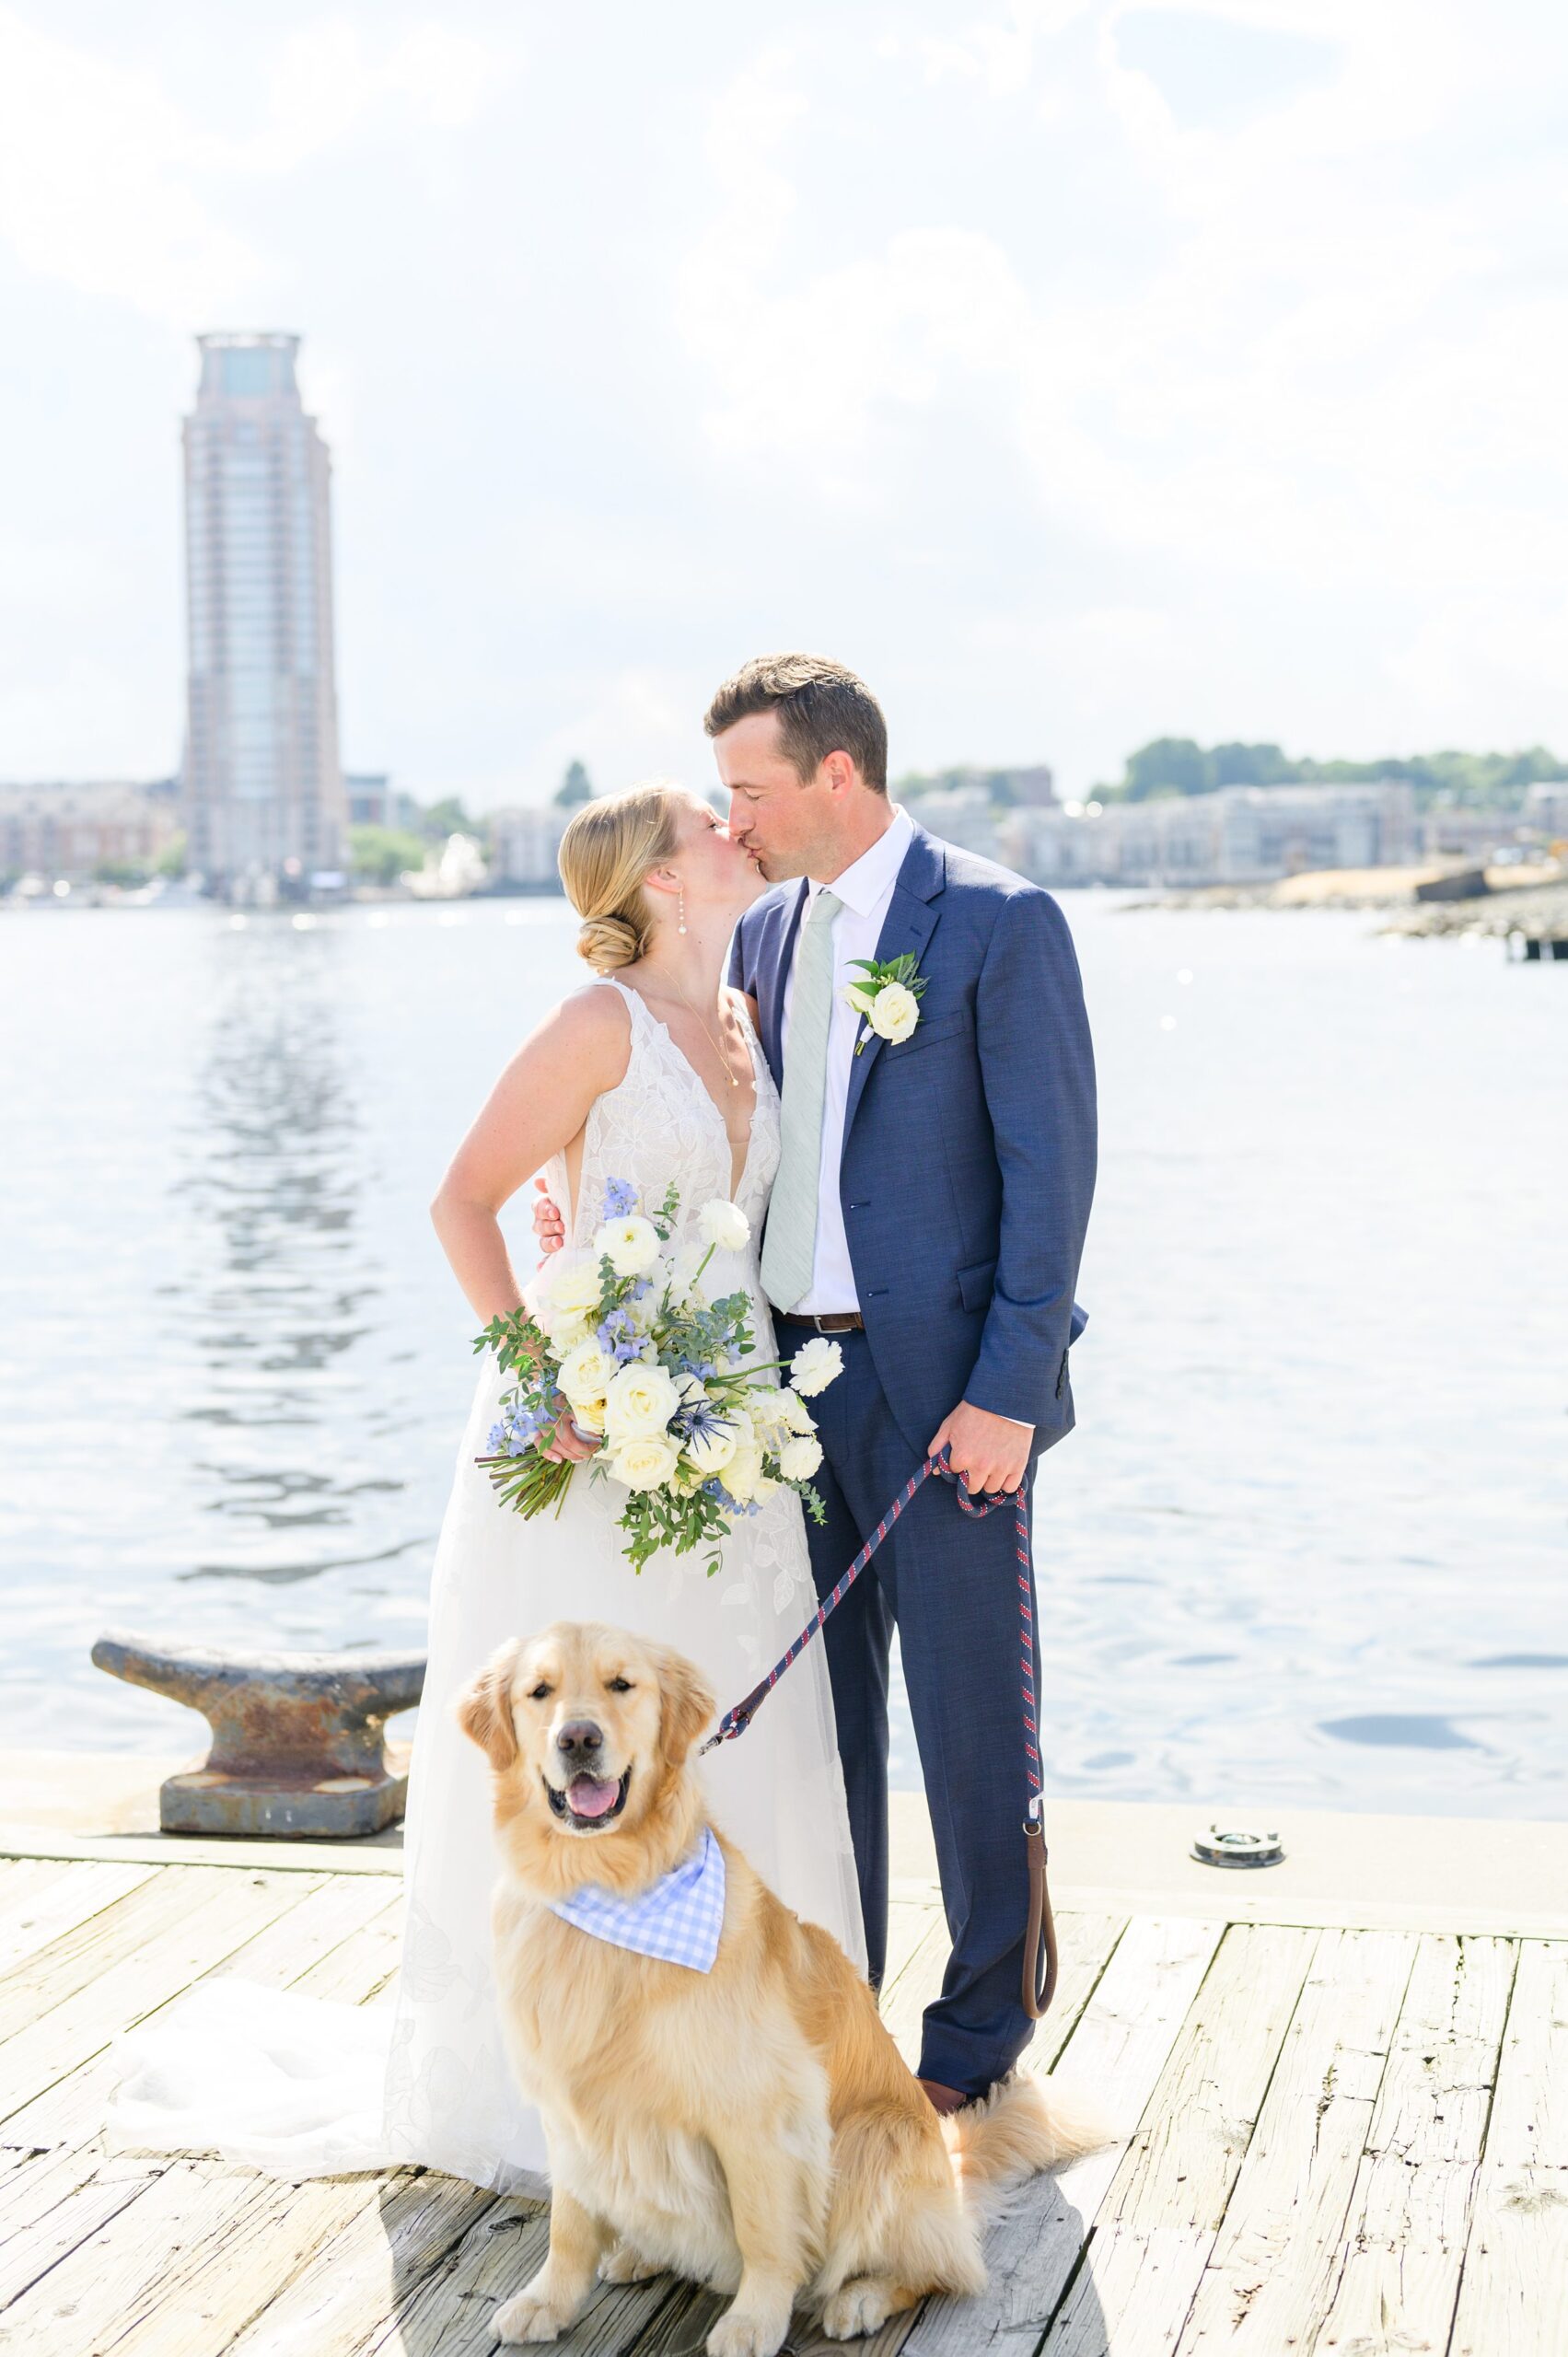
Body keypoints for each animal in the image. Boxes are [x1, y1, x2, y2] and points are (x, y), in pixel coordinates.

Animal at [459, 1621, 1108, 2357]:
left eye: (621, 1685)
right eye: (539, 1692)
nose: (578, 1739)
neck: (605, 1889)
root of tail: (948, 2163)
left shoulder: (759, 2111)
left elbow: (762, 2229)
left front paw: (752, 2321)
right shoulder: (568, 2104)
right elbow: (568, 2222)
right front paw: (548, 2301)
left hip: (874, 2135)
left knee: (941, 2271)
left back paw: (860, 2298)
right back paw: (638, 2253)